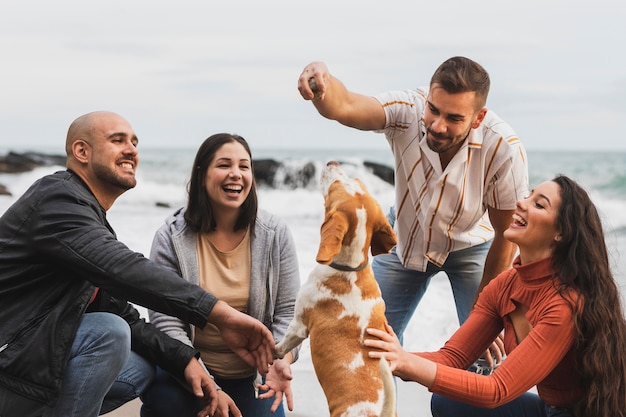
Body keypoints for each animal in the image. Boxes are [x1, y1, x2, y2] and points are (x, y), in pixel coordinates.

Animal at [276, 161, 398, 416]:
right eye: (357, 181)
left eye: (335, 187)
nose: (332, 163)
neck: (350, 268)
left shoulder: (298, 325)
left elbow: (280, 347)